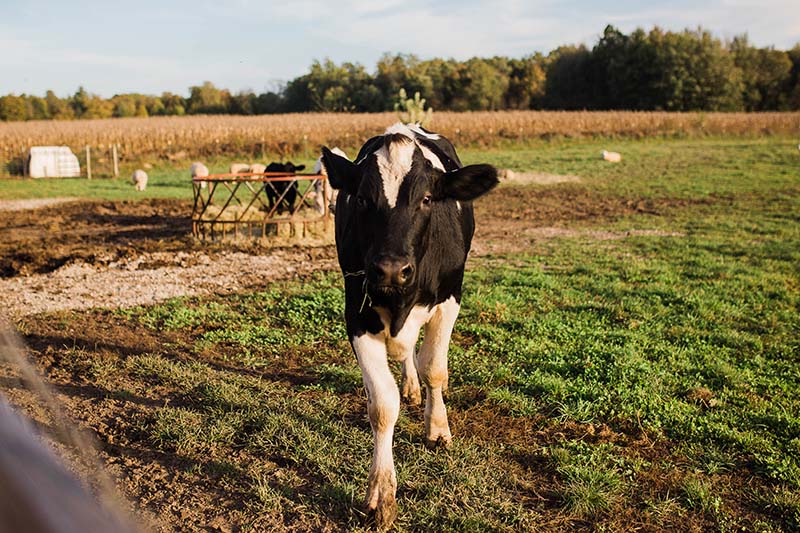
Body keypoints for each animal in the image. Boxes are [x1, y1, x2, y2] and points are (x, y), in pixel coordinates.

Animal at [320, 122, 496, 524]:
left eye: (427, 199)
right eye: (363, 199)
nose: (390, 269)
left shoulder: (450, 299)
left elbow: (434, 368)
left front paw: (438, 428)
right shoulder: (356, 313)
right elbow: (382, 404)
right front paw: (381, 494)